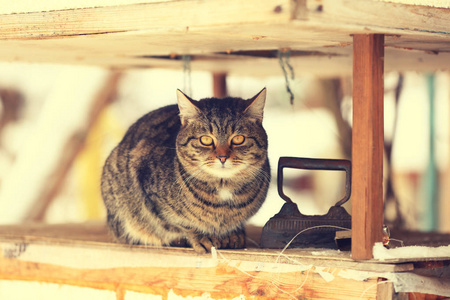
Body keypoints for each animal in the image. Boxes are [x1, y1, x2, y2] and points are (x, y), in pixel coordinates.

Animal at [101, 88, 270, 253]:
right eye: (206, 140)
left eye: (238, 139)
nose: (222, 157)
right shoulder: (149, 196)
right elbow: (180, 223)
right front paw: (201, 237)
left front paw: (234, 234)